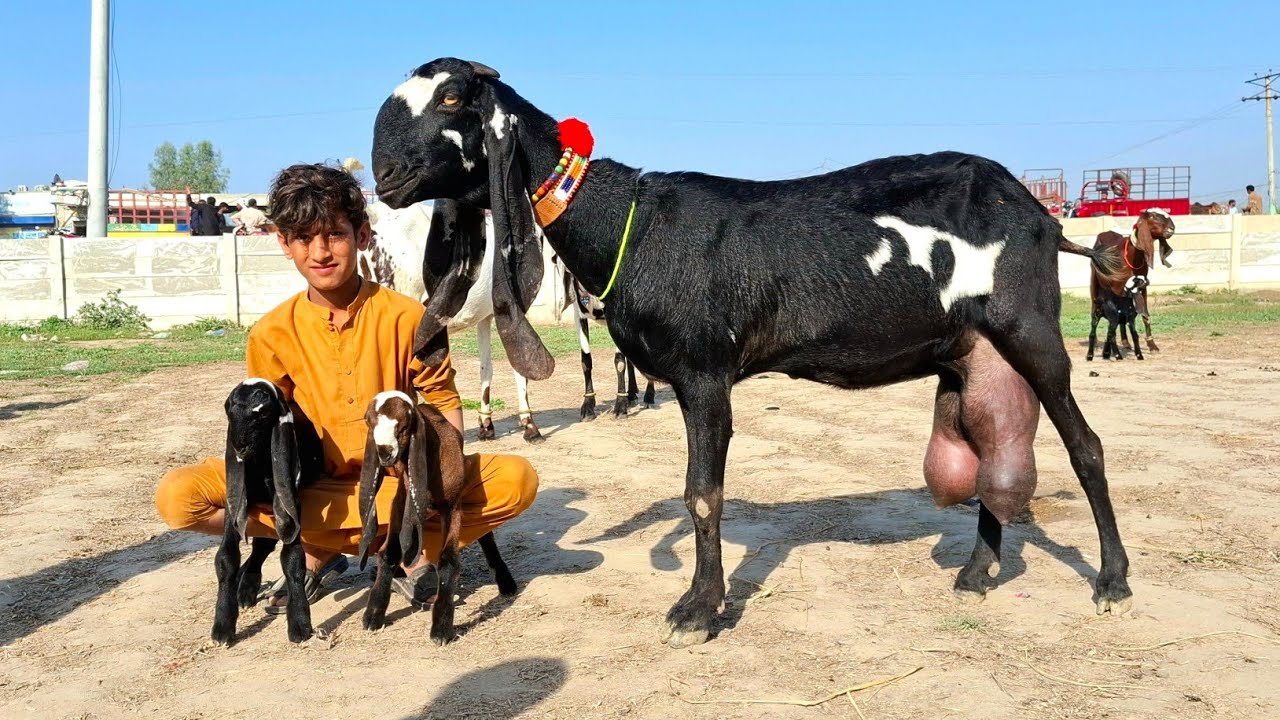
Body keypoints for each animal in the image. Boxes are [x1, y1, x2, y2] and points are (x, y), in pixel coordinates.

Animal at [212, 378, 323, 645]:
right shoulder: (234, 501)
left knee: (264, 544)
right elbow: (226, 558)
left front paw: (300, 624)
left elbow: (293, 559)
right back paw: (244, 588)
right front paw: (222, 626)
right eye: (230, 410)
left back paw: (247, 587)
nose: (240, 445)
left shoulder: (289, 502)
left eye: (263, 414)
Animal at [355, 391, 517, 644]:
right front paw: (373, 614)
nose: (384, 453)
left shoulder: (452, 507)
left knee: (486, 535)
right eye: (369, 423)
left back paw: (506, 581)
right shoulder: (400, 502)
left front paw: (441, 627)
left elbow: (449, 559)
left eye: (402, 427)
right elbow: (389, 552)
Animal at [372, 57, 1137, 648]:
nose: (384, 172)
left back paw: (1112, 580)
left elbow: (703, 495)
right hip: (976, 354)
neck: (630, 223)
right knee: (990, 458)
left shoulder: (705, 374)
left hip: (1031, 330)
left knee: (1088, 447)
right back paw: (977, 574)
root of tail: (1041, 216)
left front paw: (697, 611)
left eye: (450, 98)